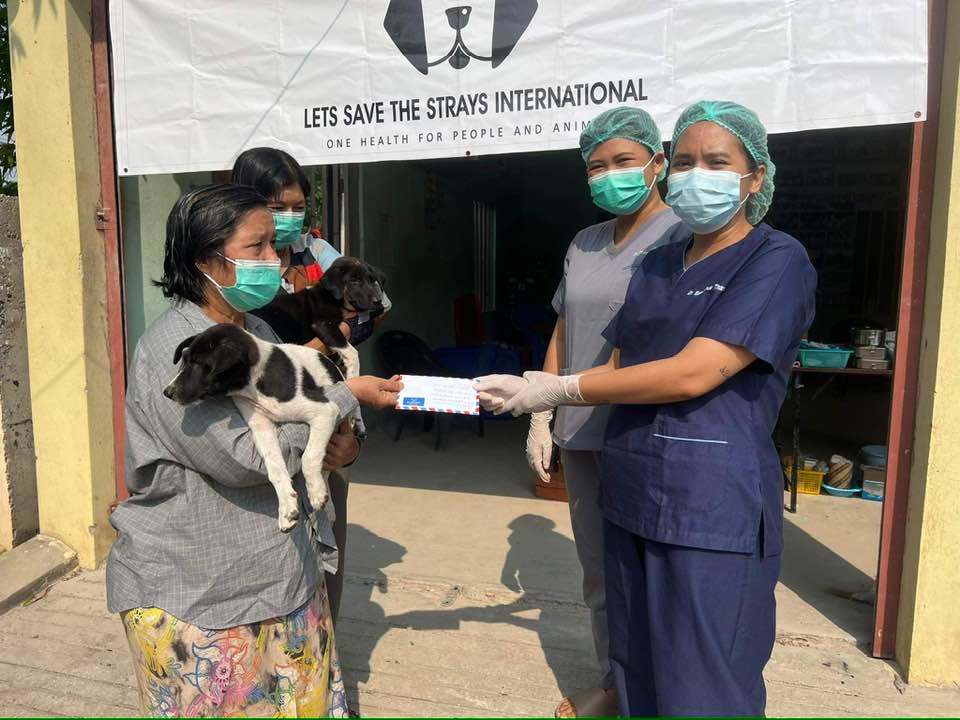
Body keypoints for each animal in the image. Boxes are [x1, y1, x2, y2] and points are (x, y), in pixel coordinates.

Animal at [163, 324, 358, 532]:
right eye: (184, 361)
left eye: (198, 363)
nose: (167, 392)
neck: (253, 384)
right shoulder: (261, 428)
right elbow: (275, 468)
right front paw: (287, 507)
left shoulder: (325, 411)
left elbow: (309, 456)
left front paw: (315, 491)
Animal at [255, 258, 390, 348]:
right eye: (354, 281)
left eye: (372, 280)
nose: (378, 301)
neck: (335, 300)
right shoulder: (323, 323)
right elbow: (346, 346)